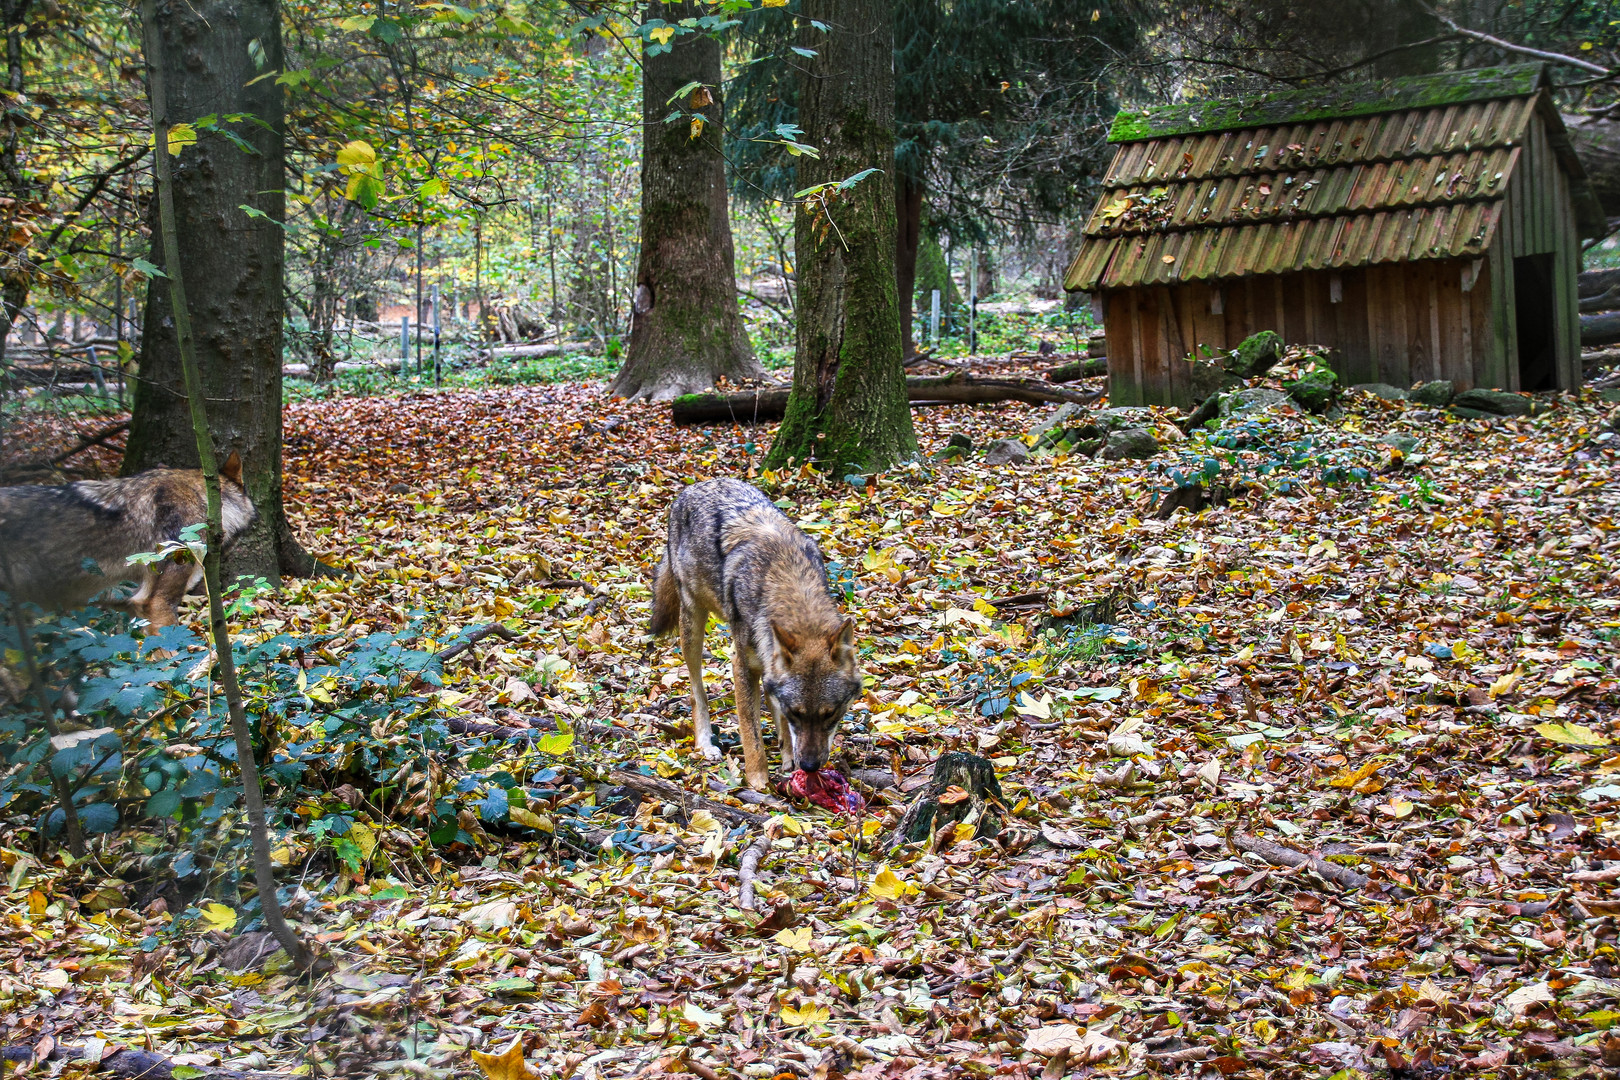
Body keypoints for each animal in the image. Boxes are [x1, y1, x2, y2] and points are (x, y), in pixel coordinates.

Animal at [651, 476, 868, 790]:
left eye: (831, 714)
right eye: (796, 713)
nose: (810, 766)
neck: (790, 582)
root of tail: (697, 485)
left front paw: (787, 756)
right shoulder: (741, 664)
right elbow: (751, 733)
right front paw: (759, 781)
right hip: (692, 623)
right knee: (696, 691)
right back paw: (705, 744)